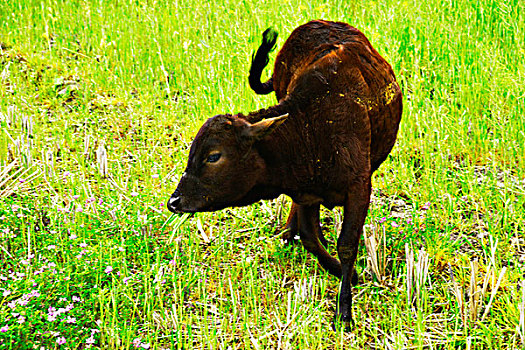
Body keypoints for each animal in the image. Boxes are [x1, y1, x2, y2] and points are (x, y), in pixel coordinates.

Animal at [168, 19, 402, 328]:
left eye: (213, 156)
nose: (175, 201)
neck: (313, 126)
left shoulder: (359, 187)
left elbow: (347, 244)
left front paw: (344, 308)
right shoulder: (306, 193)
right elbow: (310, 237)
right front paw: (344, 272)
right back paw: (288, 232)